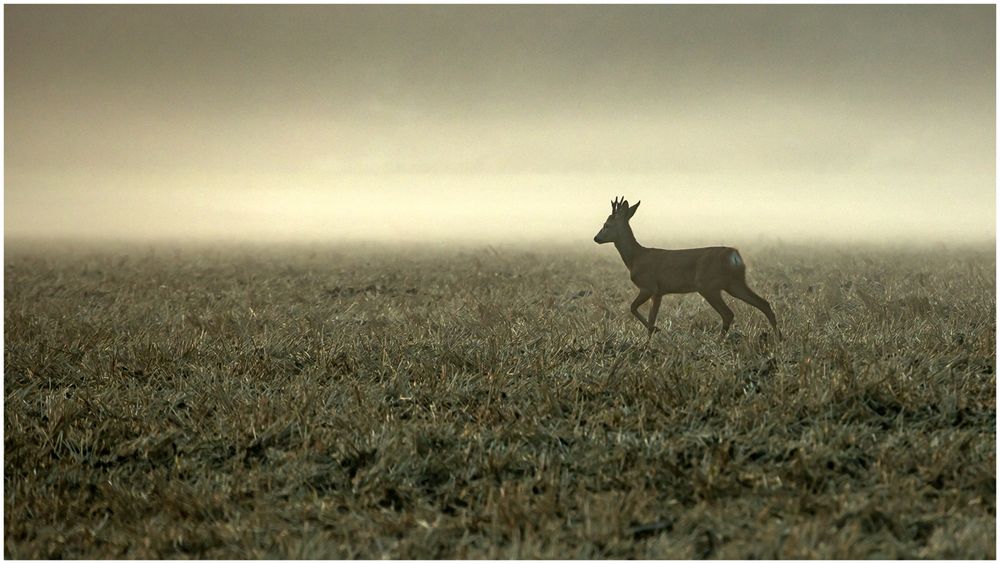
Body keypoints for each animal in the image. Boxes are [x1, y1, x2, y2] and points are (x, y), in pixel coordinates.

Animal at [592, 197, 780, 340]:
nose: (596, 238)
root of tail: (733, 255)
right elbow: (651, 316)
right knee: (763, 303)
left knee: (728, 313)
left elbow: (633, 308)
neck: (636, 257)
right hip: (734, 283)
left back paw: (719, 341)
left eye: (606, 225)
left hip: (708, 286)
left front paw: (654, 333)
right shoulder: (659, 292)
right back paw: (779, 337)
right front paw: (650, 338)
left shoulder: (649, 286)